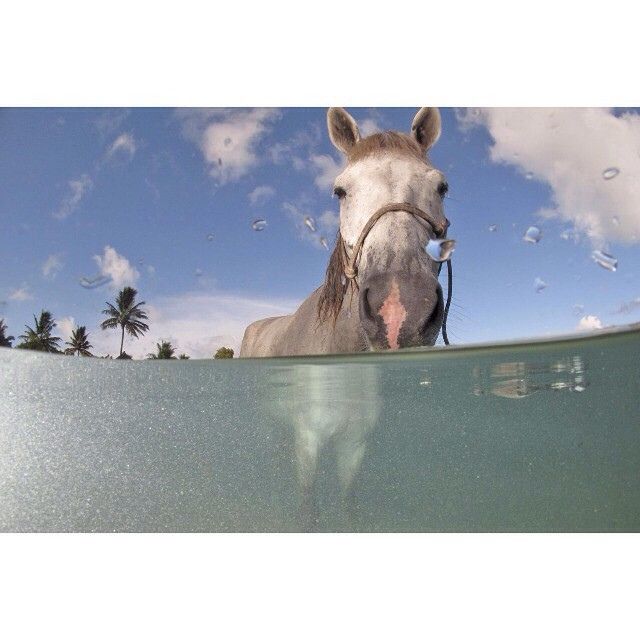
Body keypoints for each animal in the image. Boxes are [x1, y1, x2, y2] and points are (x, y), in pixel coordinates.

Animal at [241, 107, 451, 529]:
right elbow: (308, 508)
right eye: (340, 191)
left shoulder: (354, 446)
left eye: (441, 187)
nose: (399, 308)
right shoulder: (307, 441)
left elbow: (348, 502)